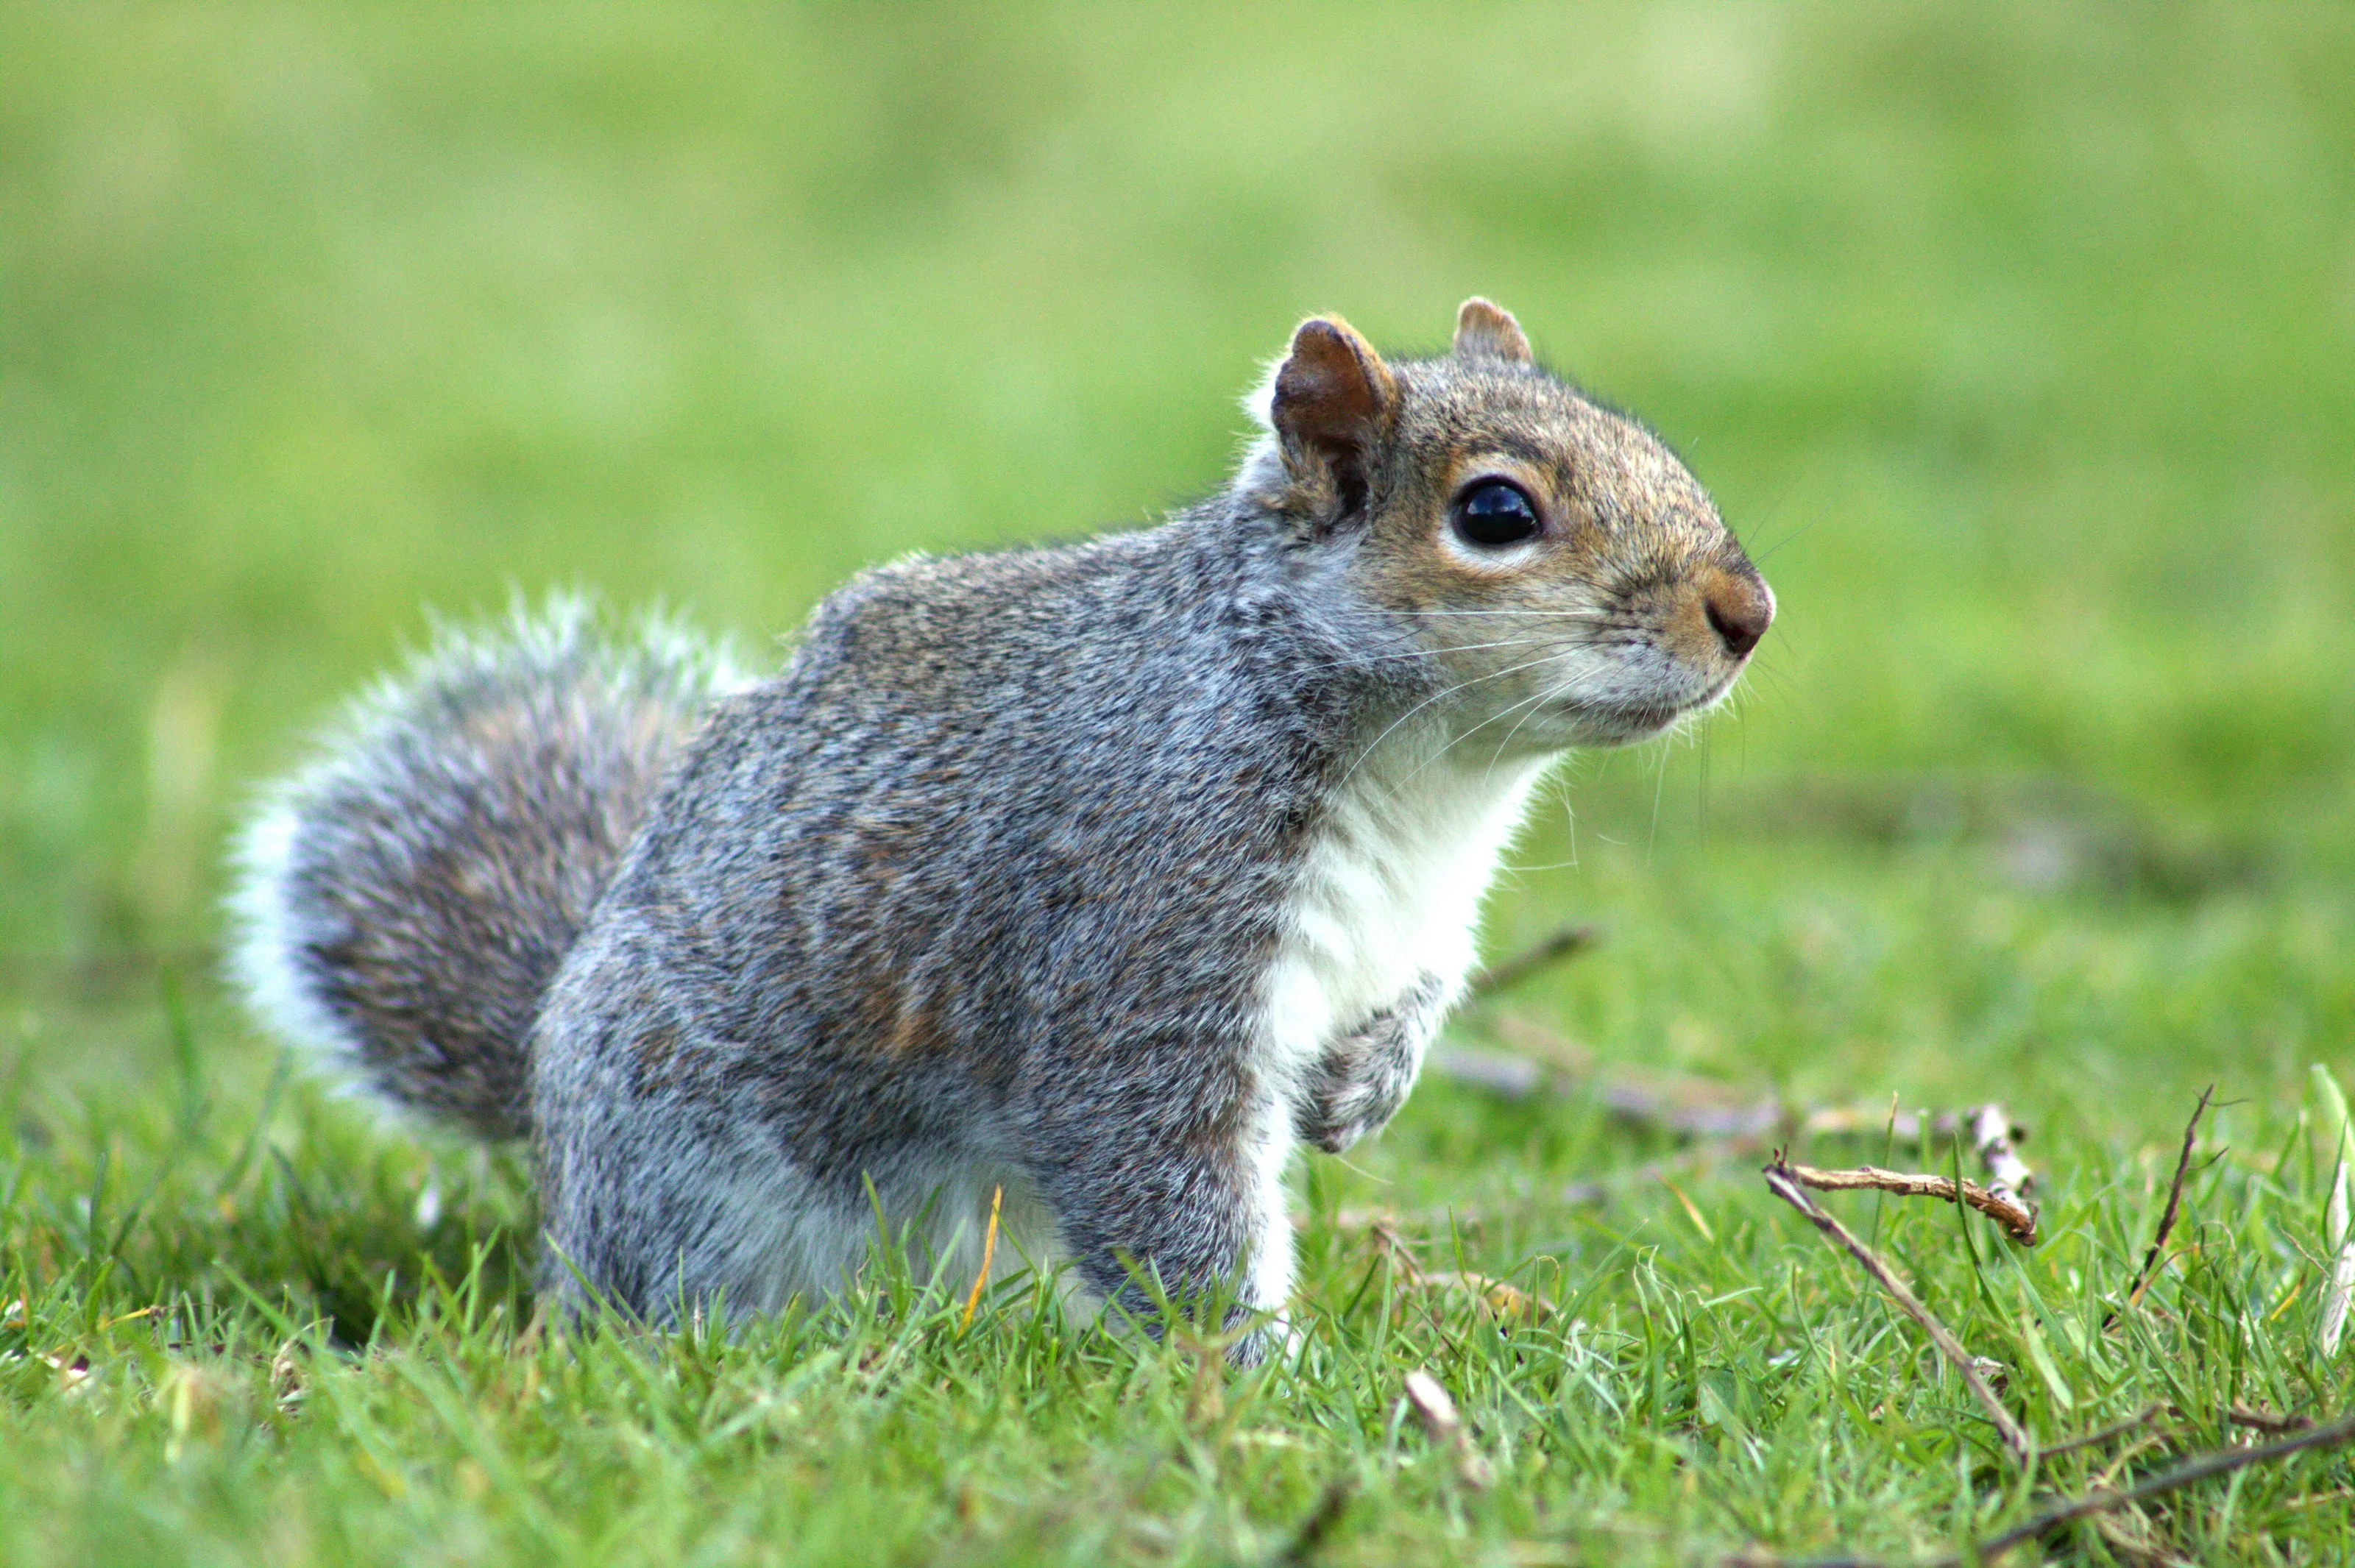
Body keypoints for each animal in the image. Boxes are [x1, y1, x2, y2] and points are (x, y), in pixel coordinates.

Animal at [229, 300, 1772, 1359]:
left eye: (1653, 442)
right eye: (1496, 511)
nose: (1747, 611)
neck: (1434, 779)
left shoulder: (1428, 914)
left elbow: (1421, 993)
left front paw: (1366, 1086)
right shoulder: (1147, 929)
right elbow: (1158, 1181)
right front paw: (1263, 1379)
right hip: (678, 1171)